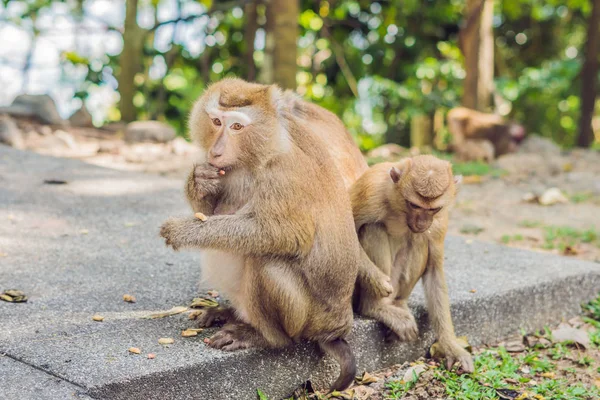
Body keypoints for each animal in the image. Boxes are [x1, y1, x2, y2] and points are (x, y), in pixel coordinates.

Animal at [157, 78, 390, 390]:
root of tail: (335, 330)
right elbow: (213, 208)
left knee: (265, 261)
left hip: (307, 320)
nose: (216, 152)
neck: (258, 153)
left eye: (237, 127)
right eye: (216, 121)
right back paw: (230, 313)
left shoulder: (285, 172)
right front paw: (198, 181)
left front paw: (184, 231)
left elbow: (283, 234)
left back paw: (262, 336)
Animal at [352, 155, 474, 372]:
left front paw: (451, 347)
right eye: (415, 205)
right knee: (373, 228)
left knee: (420, 240)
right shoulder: (370, 193)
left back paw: (399, 303)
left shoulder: (440, 221)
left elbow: (434, 272)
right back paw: (374, 307)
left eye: (434, 208)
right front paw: (377, 280)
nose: (422, 223)